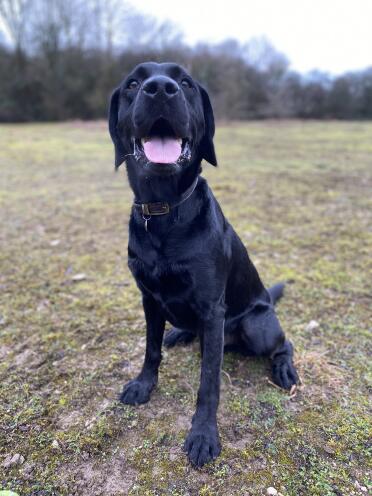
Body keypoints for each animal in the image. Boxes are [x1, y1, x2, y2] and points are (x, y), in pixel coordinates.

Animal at [108, 61, 300, 464]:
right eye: (133, 83)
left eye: (185, 83)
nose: (160, 89)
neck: (164, 210)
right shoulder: (149, 299)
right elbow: (150, 350)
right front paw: (143, 385)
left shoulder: (213, 310)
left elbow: (208, 382)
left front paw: (203, 435)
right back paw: (180, 333)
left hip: (257, 327)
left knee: (283, 344)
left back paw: (285, 370)